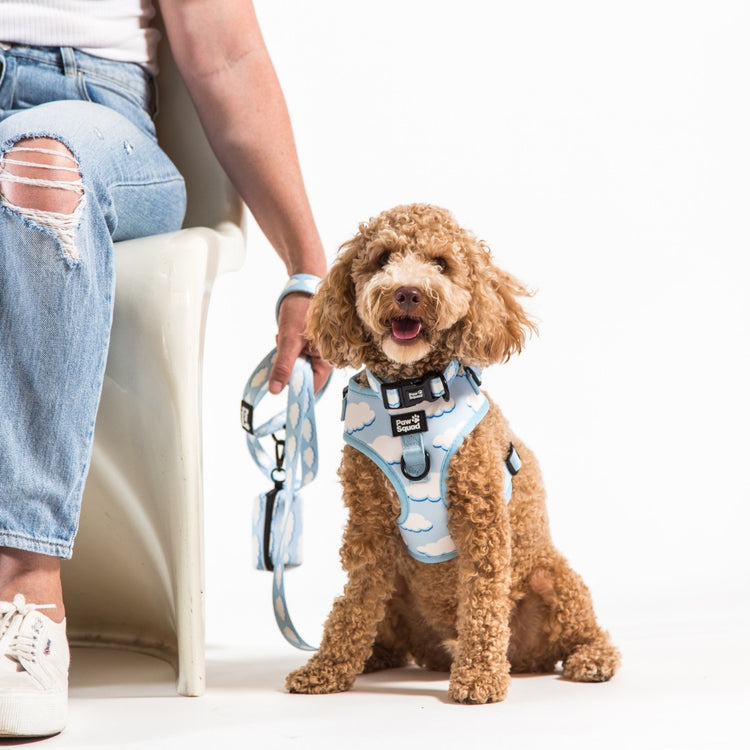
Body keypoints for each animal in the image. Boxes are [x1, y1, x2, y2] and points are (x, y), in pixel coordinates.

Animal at [284, 203, 620, 704]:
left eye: (441, 264)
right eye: (383, 259)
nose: (407, 293)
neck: (410, 402)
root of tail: (526, 660)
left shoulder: (481, 520)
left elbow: (482, 602)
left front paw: (479, 677)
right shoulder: (369, 527)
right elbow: (353, 605)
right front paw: (326, 668)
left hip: (552, 577)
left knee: (586, 629)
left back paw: (589, 659)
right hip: (399, 590)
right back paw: (376, 658)